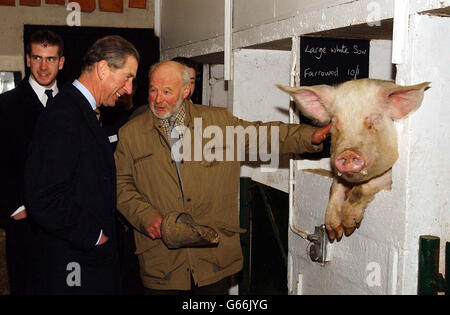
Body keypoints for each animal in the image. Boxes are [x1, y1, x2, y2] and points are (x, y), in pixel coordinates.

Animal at [278, 79, 428, 242]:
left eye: (373, 120)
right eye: (335, 123)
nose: (348, 152)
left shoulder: (389, 178)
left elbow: (362, 189)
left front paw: (349, 227)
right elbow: (335, 186)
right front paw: (334, 232)